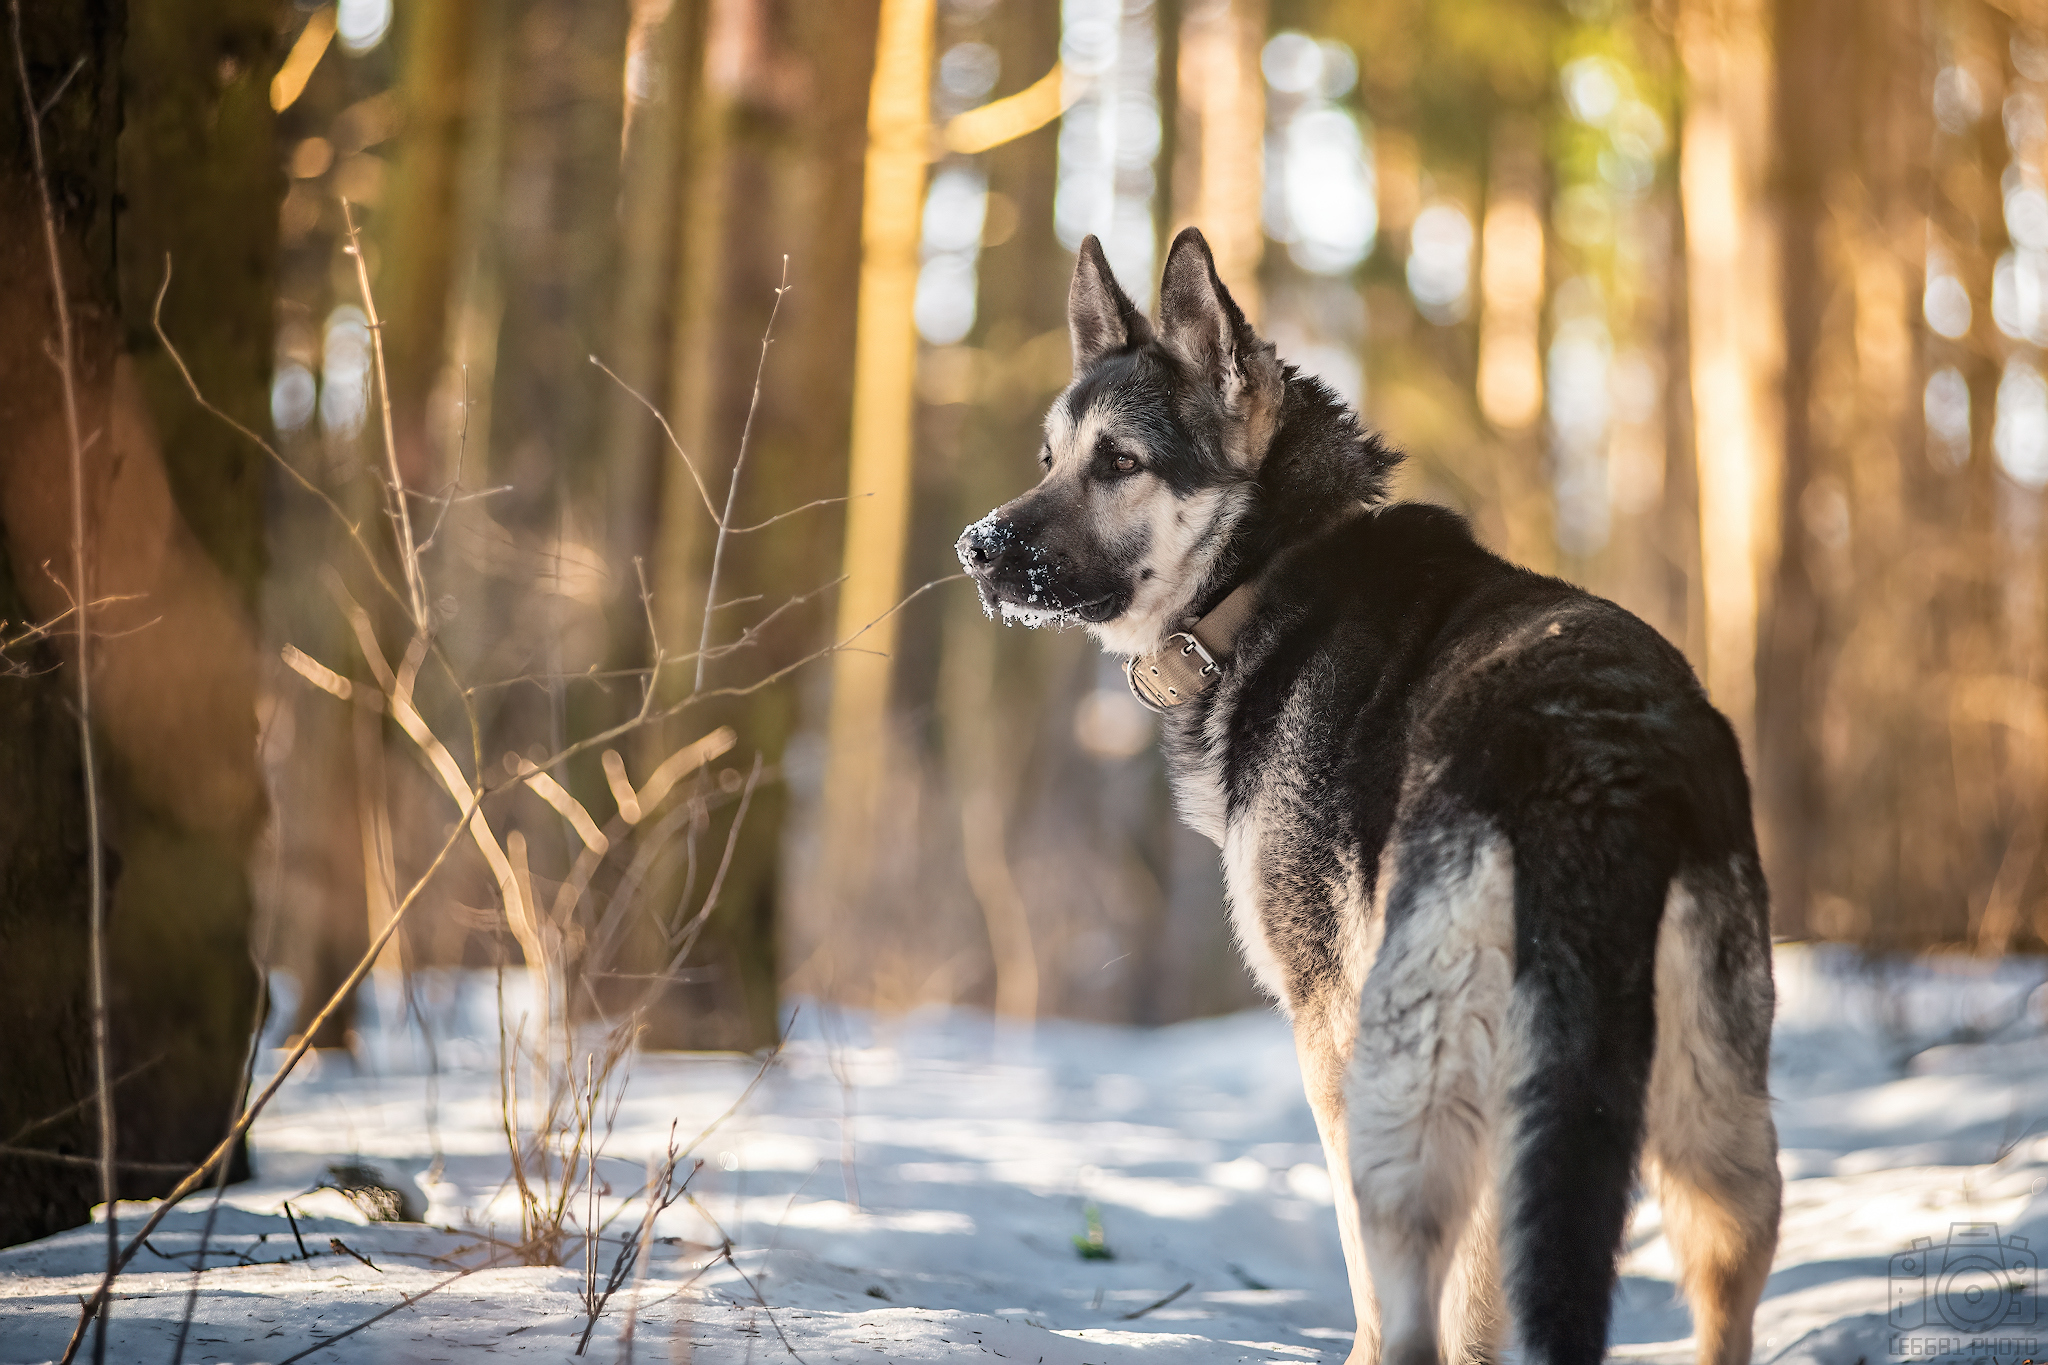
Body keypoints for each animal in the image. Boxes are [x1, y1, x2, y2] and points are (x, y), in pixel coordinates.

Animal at [958, 229, 1777, 1365]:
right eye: (1049, 460)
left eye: (1118, 462)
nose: (976, 548)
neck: (1266, 569)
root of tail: (1597, 762)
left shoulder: (1326, 1027)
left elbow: (1364, 1265)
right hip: (1715, 1117)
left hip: (1420, 1080)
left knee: (1430, 1285)